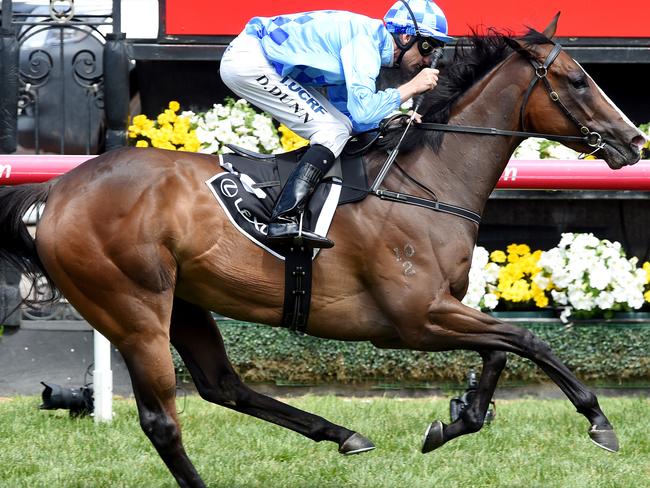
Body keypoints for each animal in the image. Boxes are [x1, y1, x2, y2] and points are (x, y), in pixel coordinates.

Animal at [0, 15, 644, 488]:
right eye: (577, 79)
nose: (634, 141)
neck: (424, 181)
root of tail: (59, 188)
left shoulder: (439, 310)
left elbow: (499, 352)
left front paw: (458, 418)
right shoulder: (415, 318)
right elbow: (528, 340)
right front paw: (598, 419)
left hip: (183, 301)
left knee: (223, 386)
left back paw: (343, 435)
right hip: (132, 308)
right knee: (163, 420)